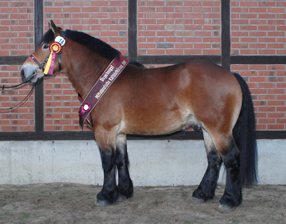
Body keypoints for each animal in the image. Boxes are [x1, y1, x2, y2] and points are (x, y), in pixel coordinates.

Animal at [20, 20, 256, 210]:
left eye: (45, 46)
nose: (24, 71)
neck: (102, 78)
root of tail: (230, 75)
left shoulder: (104, 131)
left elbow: (107, 162)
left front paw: (105, 195)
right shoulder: (119, 133)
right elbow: (121, 160)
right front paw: (124, 192)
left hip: (219, 130)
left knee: (231, 158)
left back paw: (229, 200)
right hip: (207, 129)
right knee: (214, 159)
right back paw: (202, 194)